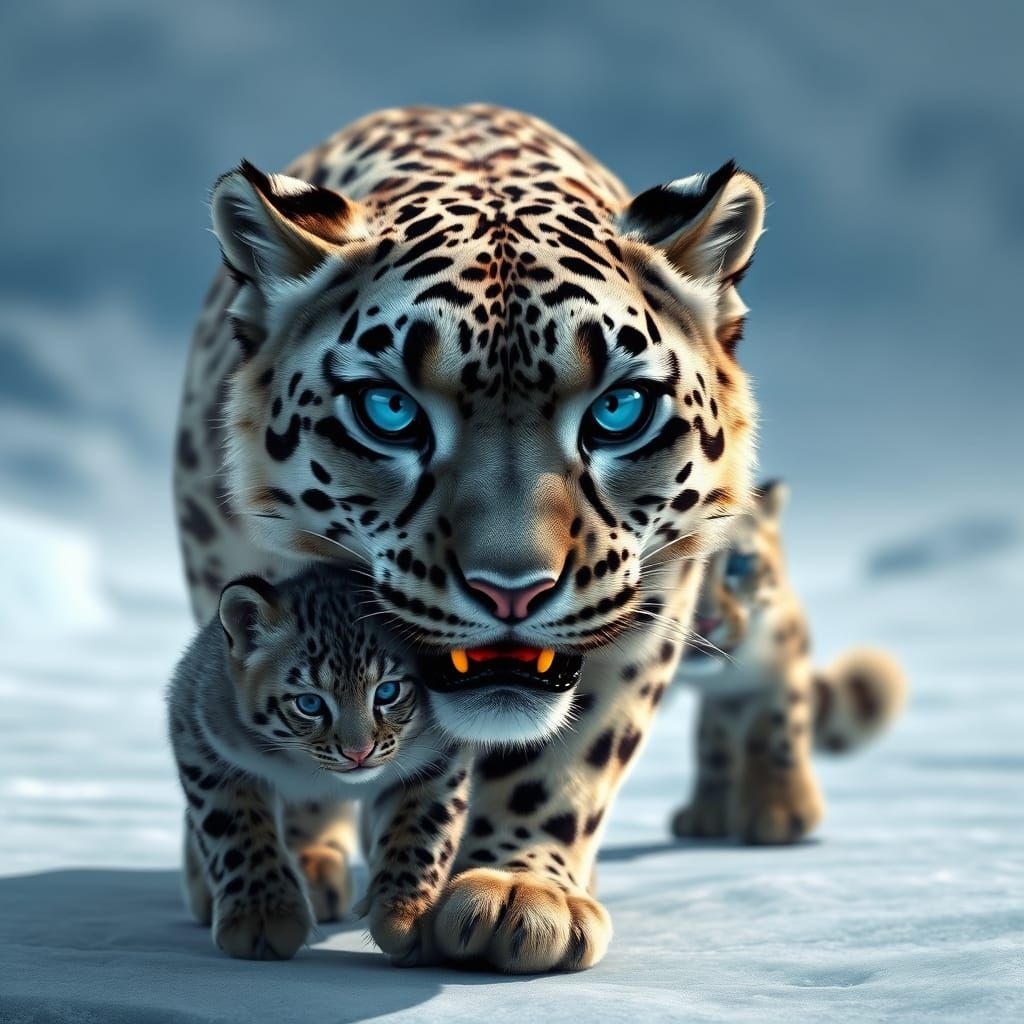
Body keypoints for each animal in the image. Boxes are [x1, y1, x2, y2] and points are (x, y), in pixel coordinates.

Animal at [167, 564, 470, 963]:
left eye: (387, 691)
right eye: (310, 703)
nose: (359, 752)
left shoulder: (439, 757)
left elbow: (422, 830)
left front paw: (406, 913)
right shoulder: (200, 732)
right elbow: (236, 831)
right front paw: (263, 915)